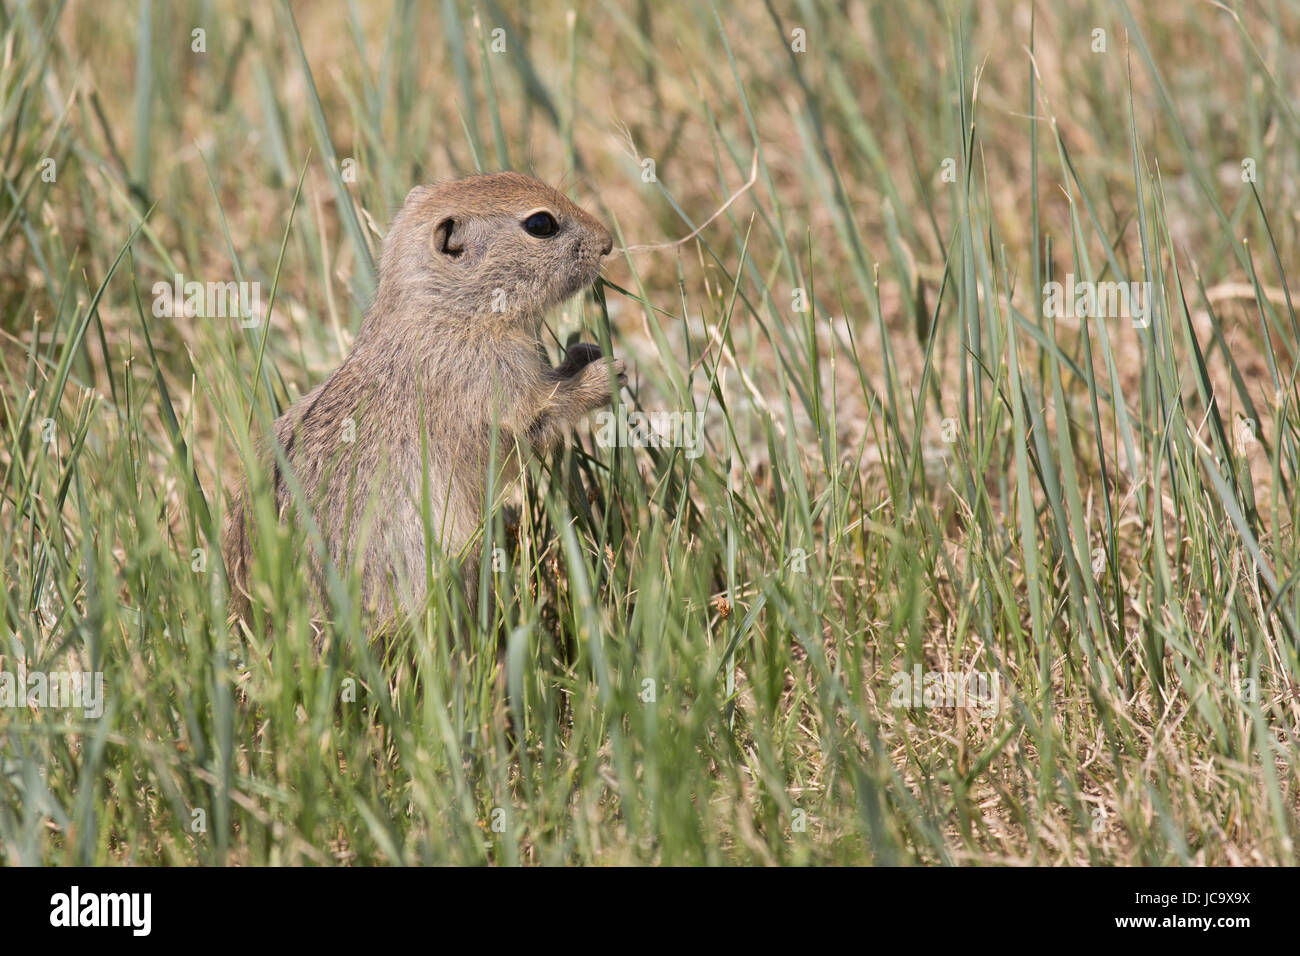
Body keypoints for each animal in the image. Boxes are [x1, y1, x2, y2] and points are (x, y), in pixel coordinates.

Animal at [223, 172, 624, 629]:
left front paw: (584, 352)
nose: (607, 242)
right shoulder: (493, 390)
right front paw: (604, 374)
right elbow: (542, 416)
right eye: (541, 224)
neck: (448, 311)